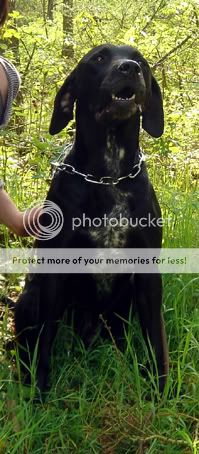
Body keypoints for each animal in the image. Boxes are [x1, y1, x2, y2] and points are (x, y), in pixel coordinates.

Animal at [14, 44, 169, 396]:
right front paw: (40, 392)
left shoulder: (148, 274)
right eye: (99, 58)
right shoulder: (54, 273)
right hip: (29, 297)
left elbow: (156, 337)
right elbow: (45, 339)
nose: (129, 68)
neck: (109, 177)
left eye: (140, 60)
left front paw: (161, 388)